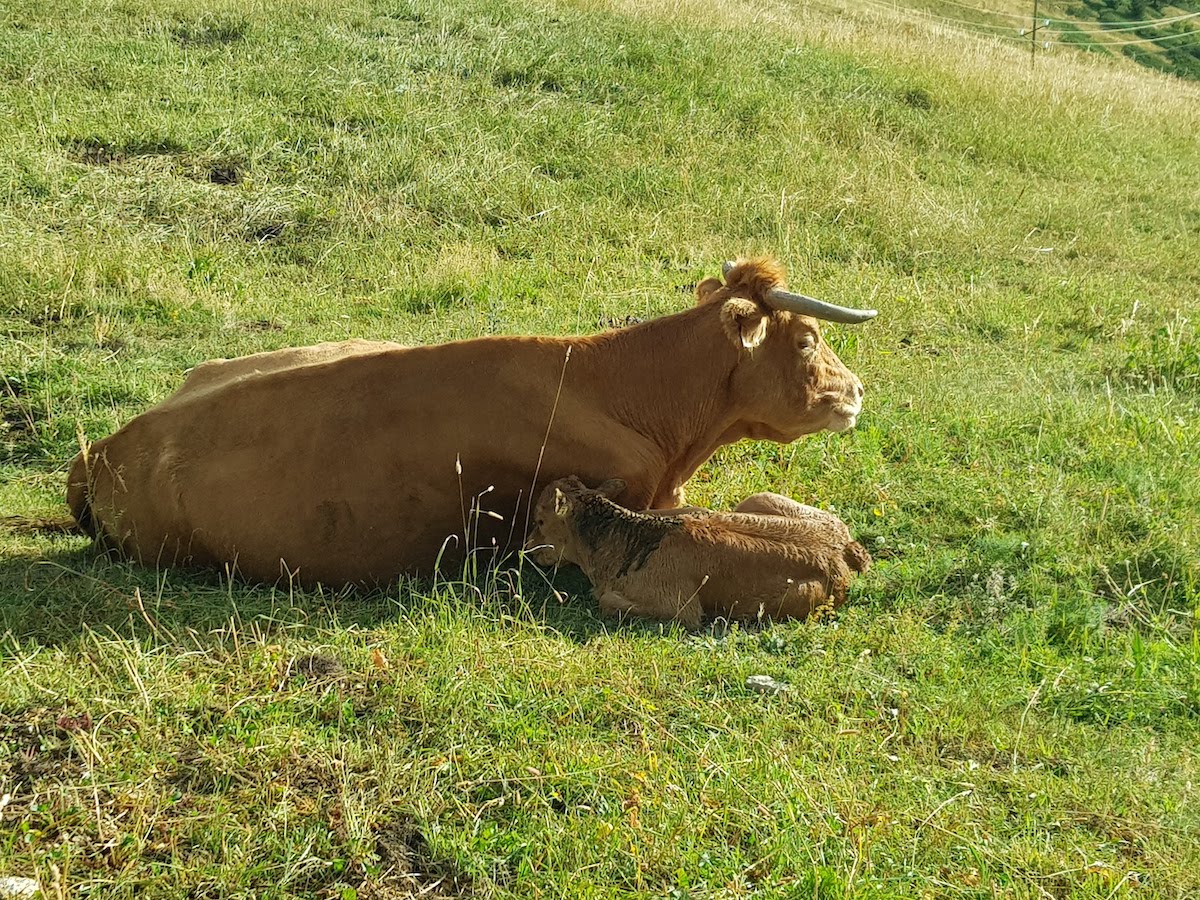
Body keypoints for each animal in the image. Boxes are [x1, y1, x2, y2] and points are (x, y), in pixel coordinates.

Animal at [530, 475, 868, 628]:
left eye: (540, 519)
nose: (529, 550)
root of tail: (843, 549)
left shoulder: (680, 607)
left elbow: (606, 600)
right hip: (763, 499)